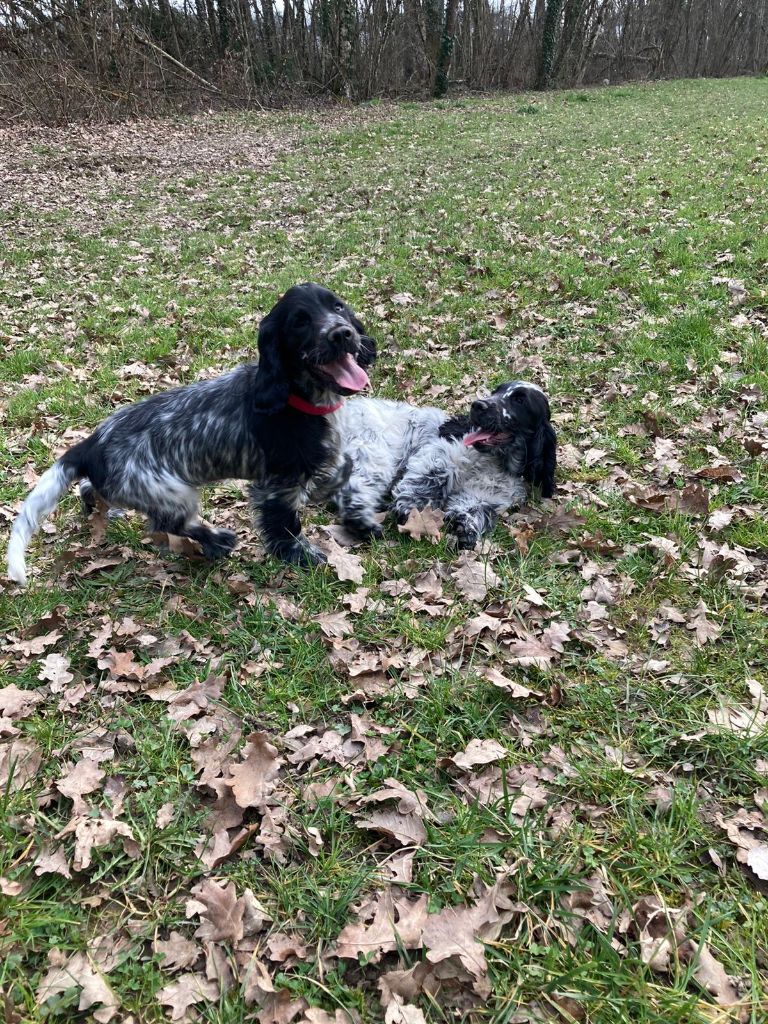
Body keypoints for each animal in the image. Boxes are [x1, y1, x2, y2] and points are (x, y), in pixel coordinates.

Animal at [5, 282, 378, 585]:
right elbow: (285, 524)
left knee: (89, 487)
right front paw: (299, 555)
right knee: (170, 524)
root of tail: (91, 444)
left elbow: (342, 470)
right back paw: (217, 540)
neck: (296, 396)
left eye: (338, 307)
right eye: (300, 322)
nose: (342, 333)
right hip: (171, 492)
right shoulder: (276, 484)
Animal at [333, 380, 557, 548]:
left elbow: (476, 509)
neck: (499, 461)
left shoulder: (483, 495)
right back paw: (363, 524)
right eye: (496, 391)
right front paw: (410, 508)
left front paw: (466, 528)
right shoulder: (441, 453)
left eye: (519, 400)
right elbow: (430, 479)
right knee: (353, 488)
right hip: (373, 451)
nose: (477, 405)